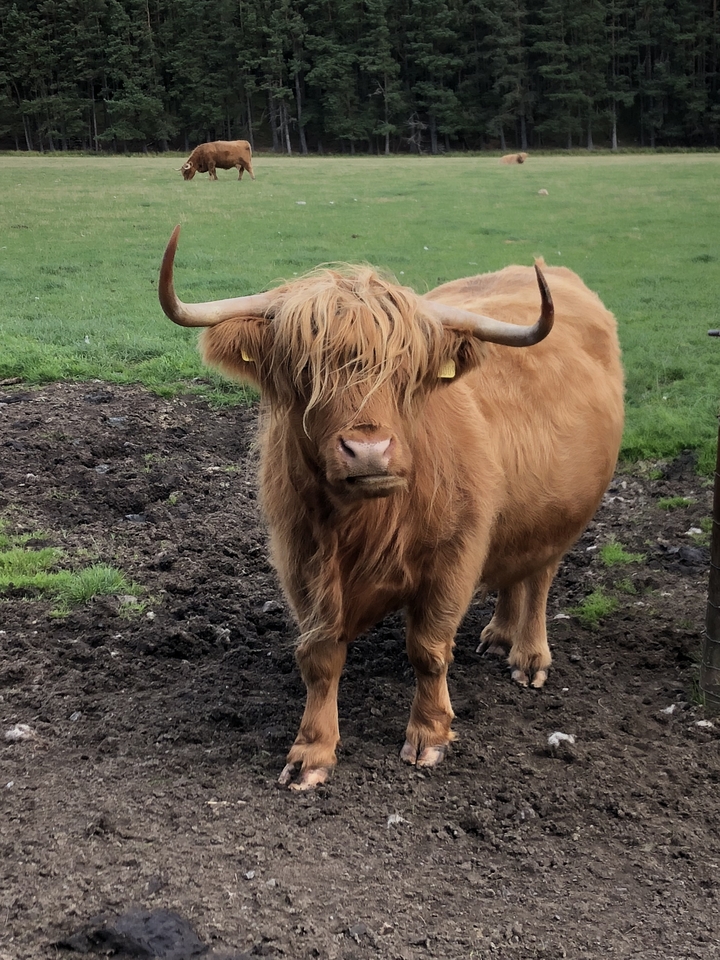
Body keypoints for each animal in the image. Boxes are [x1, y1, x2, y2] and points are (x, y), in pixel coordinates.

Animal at [158, 225, 624, 791]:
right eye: (306, 370)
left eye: (404, 372)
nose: (368, 451)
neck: (365, 525)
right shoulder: (302, 559)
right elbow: (319, 657)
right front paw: (311, 752)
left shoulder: (454, 558)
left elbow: (428, 650)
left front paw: (429, 734)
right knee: (515, 572)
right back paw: (498, 635)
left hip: (560, 513)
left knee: (538, 578)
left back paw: (529, 656)